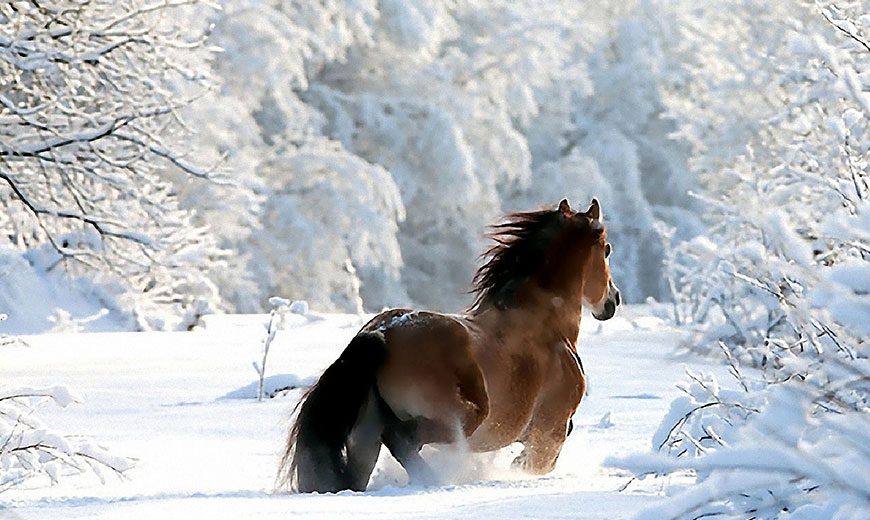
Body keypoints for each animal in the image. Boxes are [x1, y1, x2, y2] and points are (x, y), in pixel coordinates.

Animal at [280, 197, 620, 494]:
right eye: (606, 249)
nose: (613, 300)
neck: (547, 326)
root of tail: (381, 335)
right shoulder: (550, 431)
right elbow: (536, 464)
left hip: (364, 437)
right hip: (462, 419)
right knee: (403, 440)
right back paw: (433, 480)